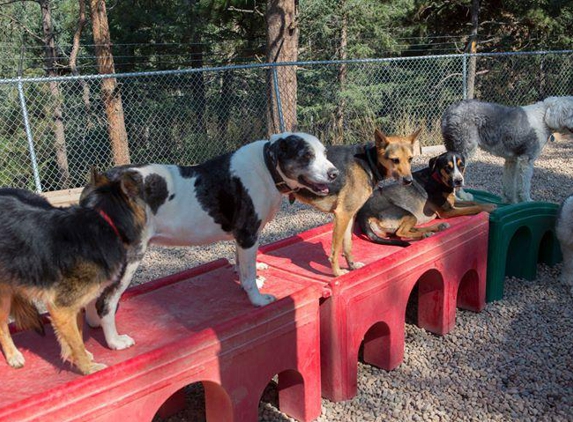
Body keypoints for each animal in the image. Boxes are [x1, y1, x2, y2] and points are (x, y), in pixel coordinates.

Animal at [0, 170, 150, 374]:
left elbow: (76, 335)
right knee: (2, 327)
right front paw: (89, 369)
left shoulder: (74, 306)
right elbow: (76, 344)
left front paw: (80, 357)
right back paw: (13, 356)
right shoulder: (61, 308)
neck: (104, 220)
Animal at [81, 132, 340, 350]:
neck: (267, 167)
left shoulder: (240, 239)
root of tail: (100, 185)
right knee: (105, 302)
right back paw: (115, 342)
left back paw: (94, 324)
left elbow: (243, 267)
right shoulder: (247, 235)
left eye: (325, 153)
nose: (334, 173)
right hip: (129, 258)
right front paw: (257, 299)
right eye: (306, 156)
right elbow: (248, 275)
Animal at [292, 129, 418, 276]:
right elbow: (335, 251)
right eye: (395, 160)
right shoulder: (342, 215)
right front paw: (338, 273)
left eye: (410, 159)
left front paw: (352, 266)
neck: (368, 162)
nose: (409, 181)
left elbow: (348, 245)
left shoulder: (350, 215)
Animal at [358, 151, 496, 244]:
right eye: (447, 167)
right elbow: (473, 208)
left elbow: (474, 203)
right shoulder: (447, 210)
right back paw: (426, 234)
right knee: (400, 233)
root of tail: (363, 214)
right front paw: (490, 208)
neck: (438, 178)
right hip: (405, 214)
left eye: (461, 165)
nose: (458, 181)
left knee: (406, 230)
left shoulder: (452, 203)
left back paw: (435, 229)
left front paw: (488, 204)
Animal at [442, 97, 572, 203]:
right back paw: (462, 197)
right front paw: (527, 201)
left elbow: (510, 182)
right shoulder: (526, 160)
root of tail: (449, 112)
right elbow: (524, 185)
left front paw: (510, 201)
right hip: (465, 148)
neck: (544, 118)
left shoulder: (512, 160)